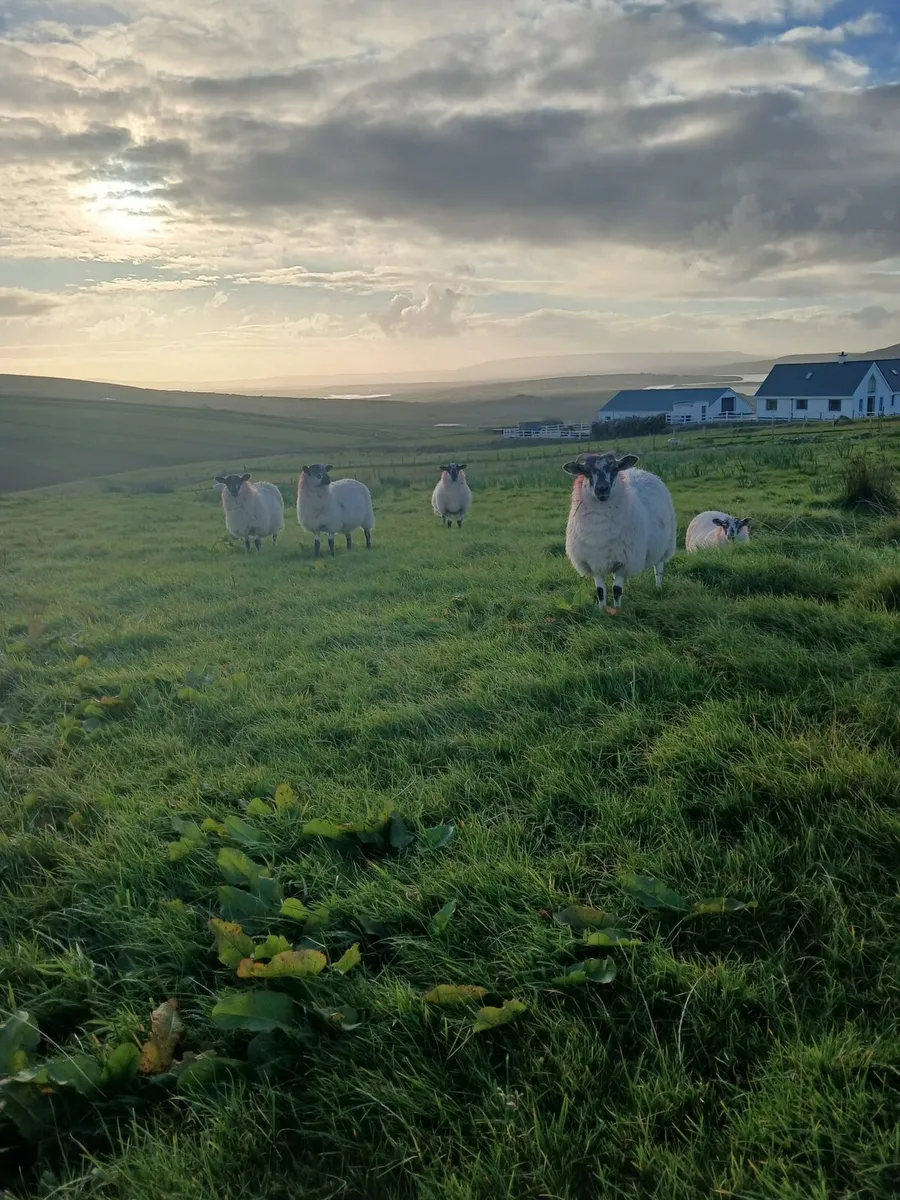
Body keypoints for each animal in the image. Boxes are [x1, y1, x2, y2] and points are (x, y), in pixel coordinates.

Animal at [563, 451, 676, 613]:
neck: (600, 526)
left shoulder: (624, 562)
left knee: (658, 568)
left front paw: (617, 611)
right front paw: (602, 610)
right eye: (586, 471)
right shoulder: (594, 563)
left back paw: (659, 587)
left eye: (615, 469)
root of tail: (639, 470)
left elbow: (616, 589)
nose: (602, 488)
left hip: (664, 545)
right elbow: (600, 591)